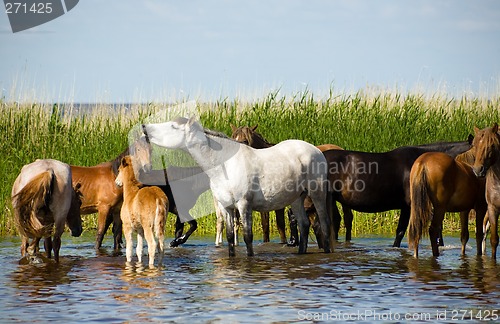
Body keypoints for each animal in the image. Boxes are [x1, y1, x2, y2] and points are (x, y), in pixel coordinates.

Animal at [144, 116, 332, 256]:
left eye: (173, 126)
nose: (145, 127)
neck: (226, 164)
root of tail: (316, 150)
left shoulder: (244, 204)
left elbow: (247, 236)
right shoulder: (227, 207)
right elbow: (229, 237)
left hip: (317, 193)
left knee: (324, 223)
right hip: (296, 198)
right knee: (304, 225)